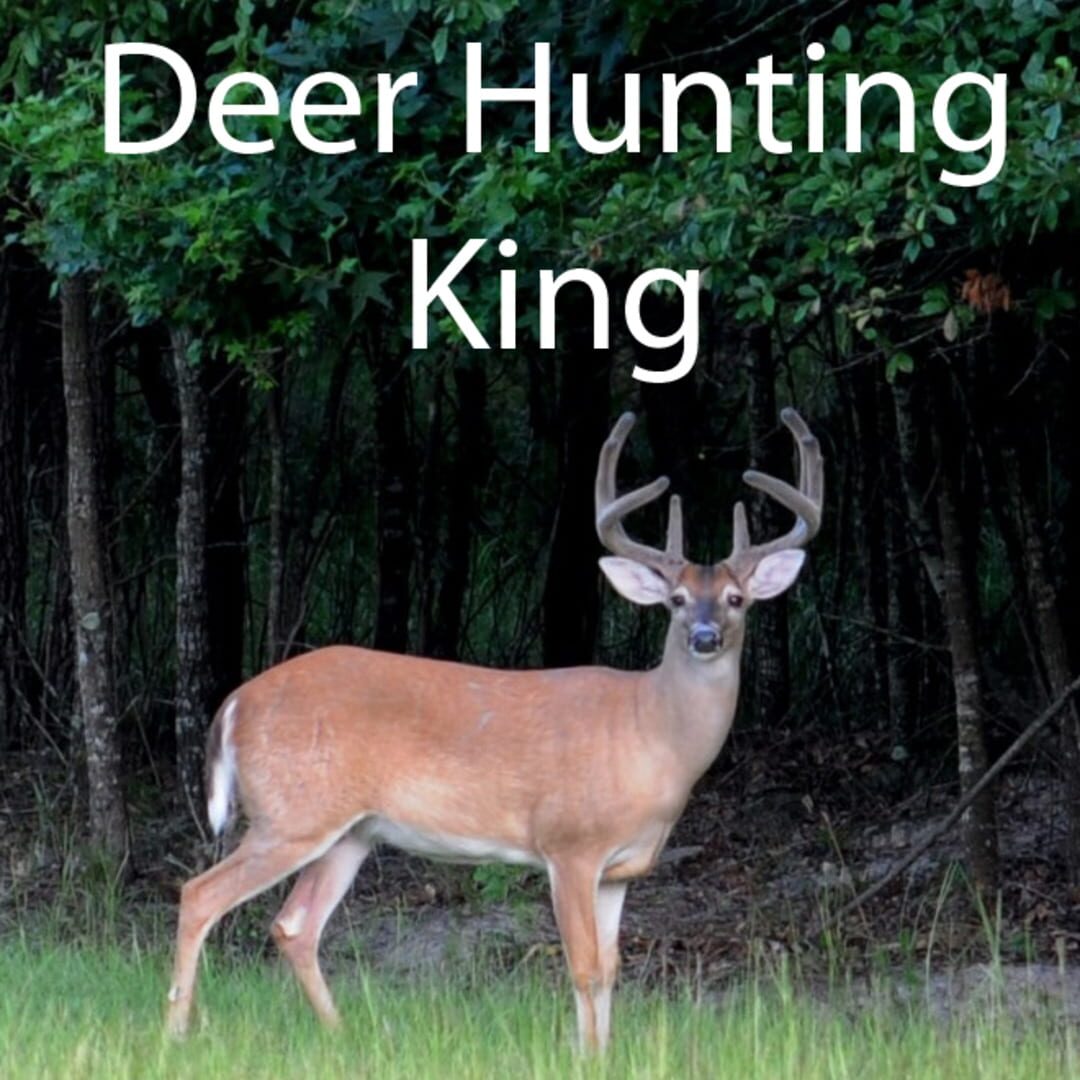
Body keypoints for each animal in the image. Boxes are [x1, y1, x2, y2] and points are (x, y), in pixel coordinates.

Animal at [165, 407, 823, 1051]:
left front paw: (603, 1052)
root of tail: (235, 703)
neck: (651, 735)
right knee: (200, 895)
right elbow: (584, 966)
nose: (705, 637)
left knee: (294, 924)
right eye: (677, 600)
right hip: (291, 814)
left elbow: (611, 968)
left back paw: (343, 1035)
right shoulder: (568, 844)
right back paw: (176, 1034)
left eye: (736, 599)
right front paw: (585, 1058)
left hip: (350, 831)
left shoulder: (620, 870)